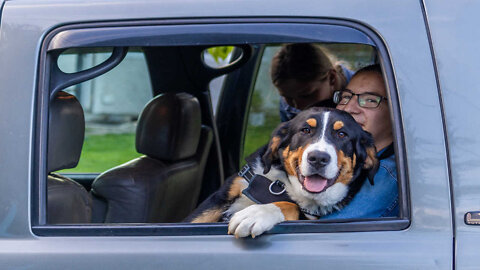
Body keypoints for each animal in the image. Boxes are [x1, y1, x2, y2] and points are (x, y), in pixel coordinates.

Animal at [187, 106, 378, 237]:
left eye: (342, 134)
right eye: (305, 130)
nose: (318, 158)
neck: (279, 185)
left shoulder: (309, 218)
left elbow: (289, 204)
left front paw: (256, 213)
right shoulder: (223, 196)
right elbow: (197, 219)